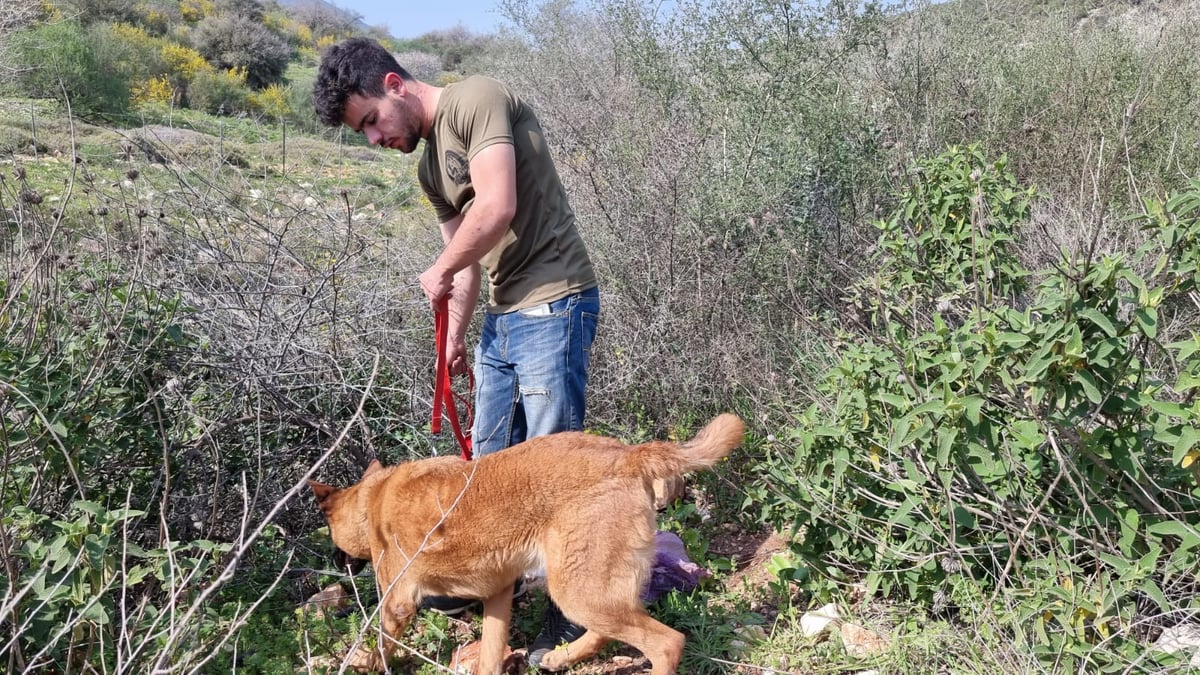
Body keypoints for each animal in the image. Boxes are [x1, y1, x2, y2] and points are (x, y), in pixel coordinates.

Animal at [309, 413, 739, 672]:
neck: (373, 500)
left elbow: (381, 644)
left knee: (667, 643)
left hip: (577, 591)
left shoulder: (397, 604)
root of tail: (630, 454)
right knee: (609, 628)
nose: (338, 562)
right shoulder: (498, 595)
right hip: (588, 590)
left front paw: (364, 662)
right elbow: (489, 653)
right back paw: (562, 657)